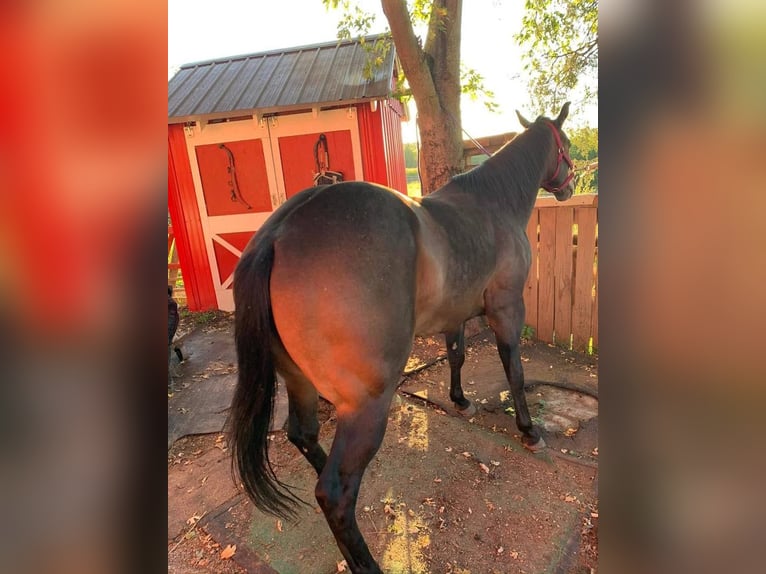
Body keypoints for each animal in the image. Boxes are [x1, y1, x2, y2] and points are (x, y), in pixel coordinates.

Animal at [228, 102, 575, 573]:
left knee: (303, 435)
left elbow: (457, 356)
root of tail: (278, 233)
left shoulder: (455, 315)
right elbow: (515, 372)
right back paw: (365, 561)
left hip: (299, 382)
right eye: (566, 144)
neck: (491, 204)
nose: (571, 183)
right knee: (334, 492)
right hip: (366, 404)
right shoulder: (507, 310)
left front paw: (461, 401)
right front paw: (529, 431)